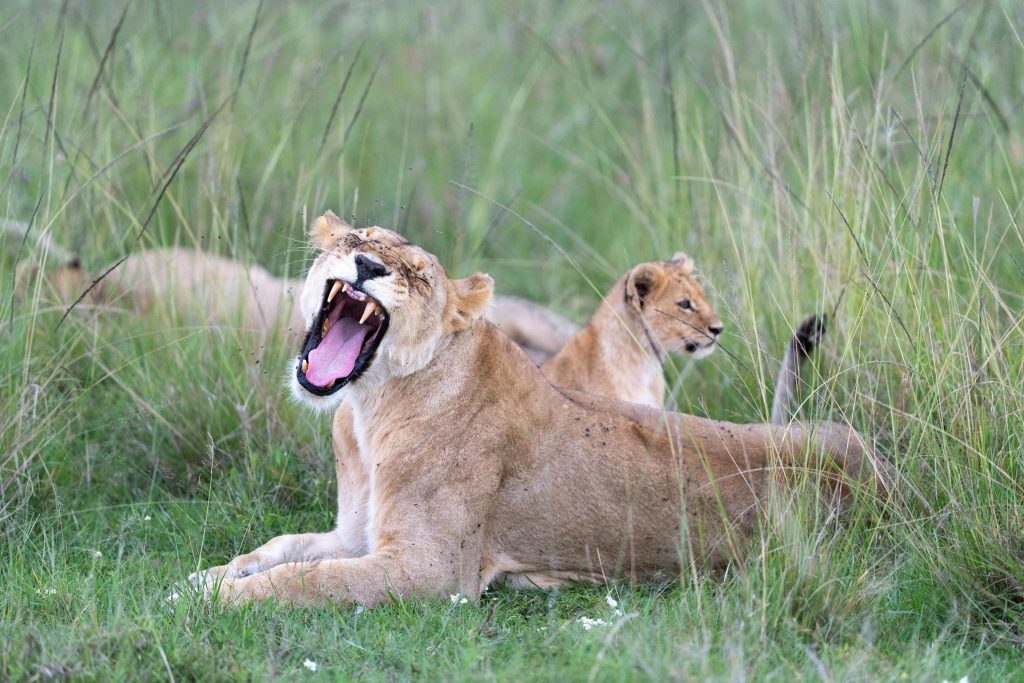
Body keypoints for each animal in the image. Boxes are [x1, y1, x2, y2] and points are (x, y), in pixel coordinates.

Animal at [185, 212, 890, 606]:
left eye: (418, 274)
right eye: (358, 239)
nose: (364, 264)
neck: (364, 408)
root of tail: (884, 469)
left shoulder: (431, 571)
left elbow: (307, 582)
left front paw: (214, 602)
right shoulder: (355, 534)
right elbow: (282, 547)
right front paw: (208, 578)